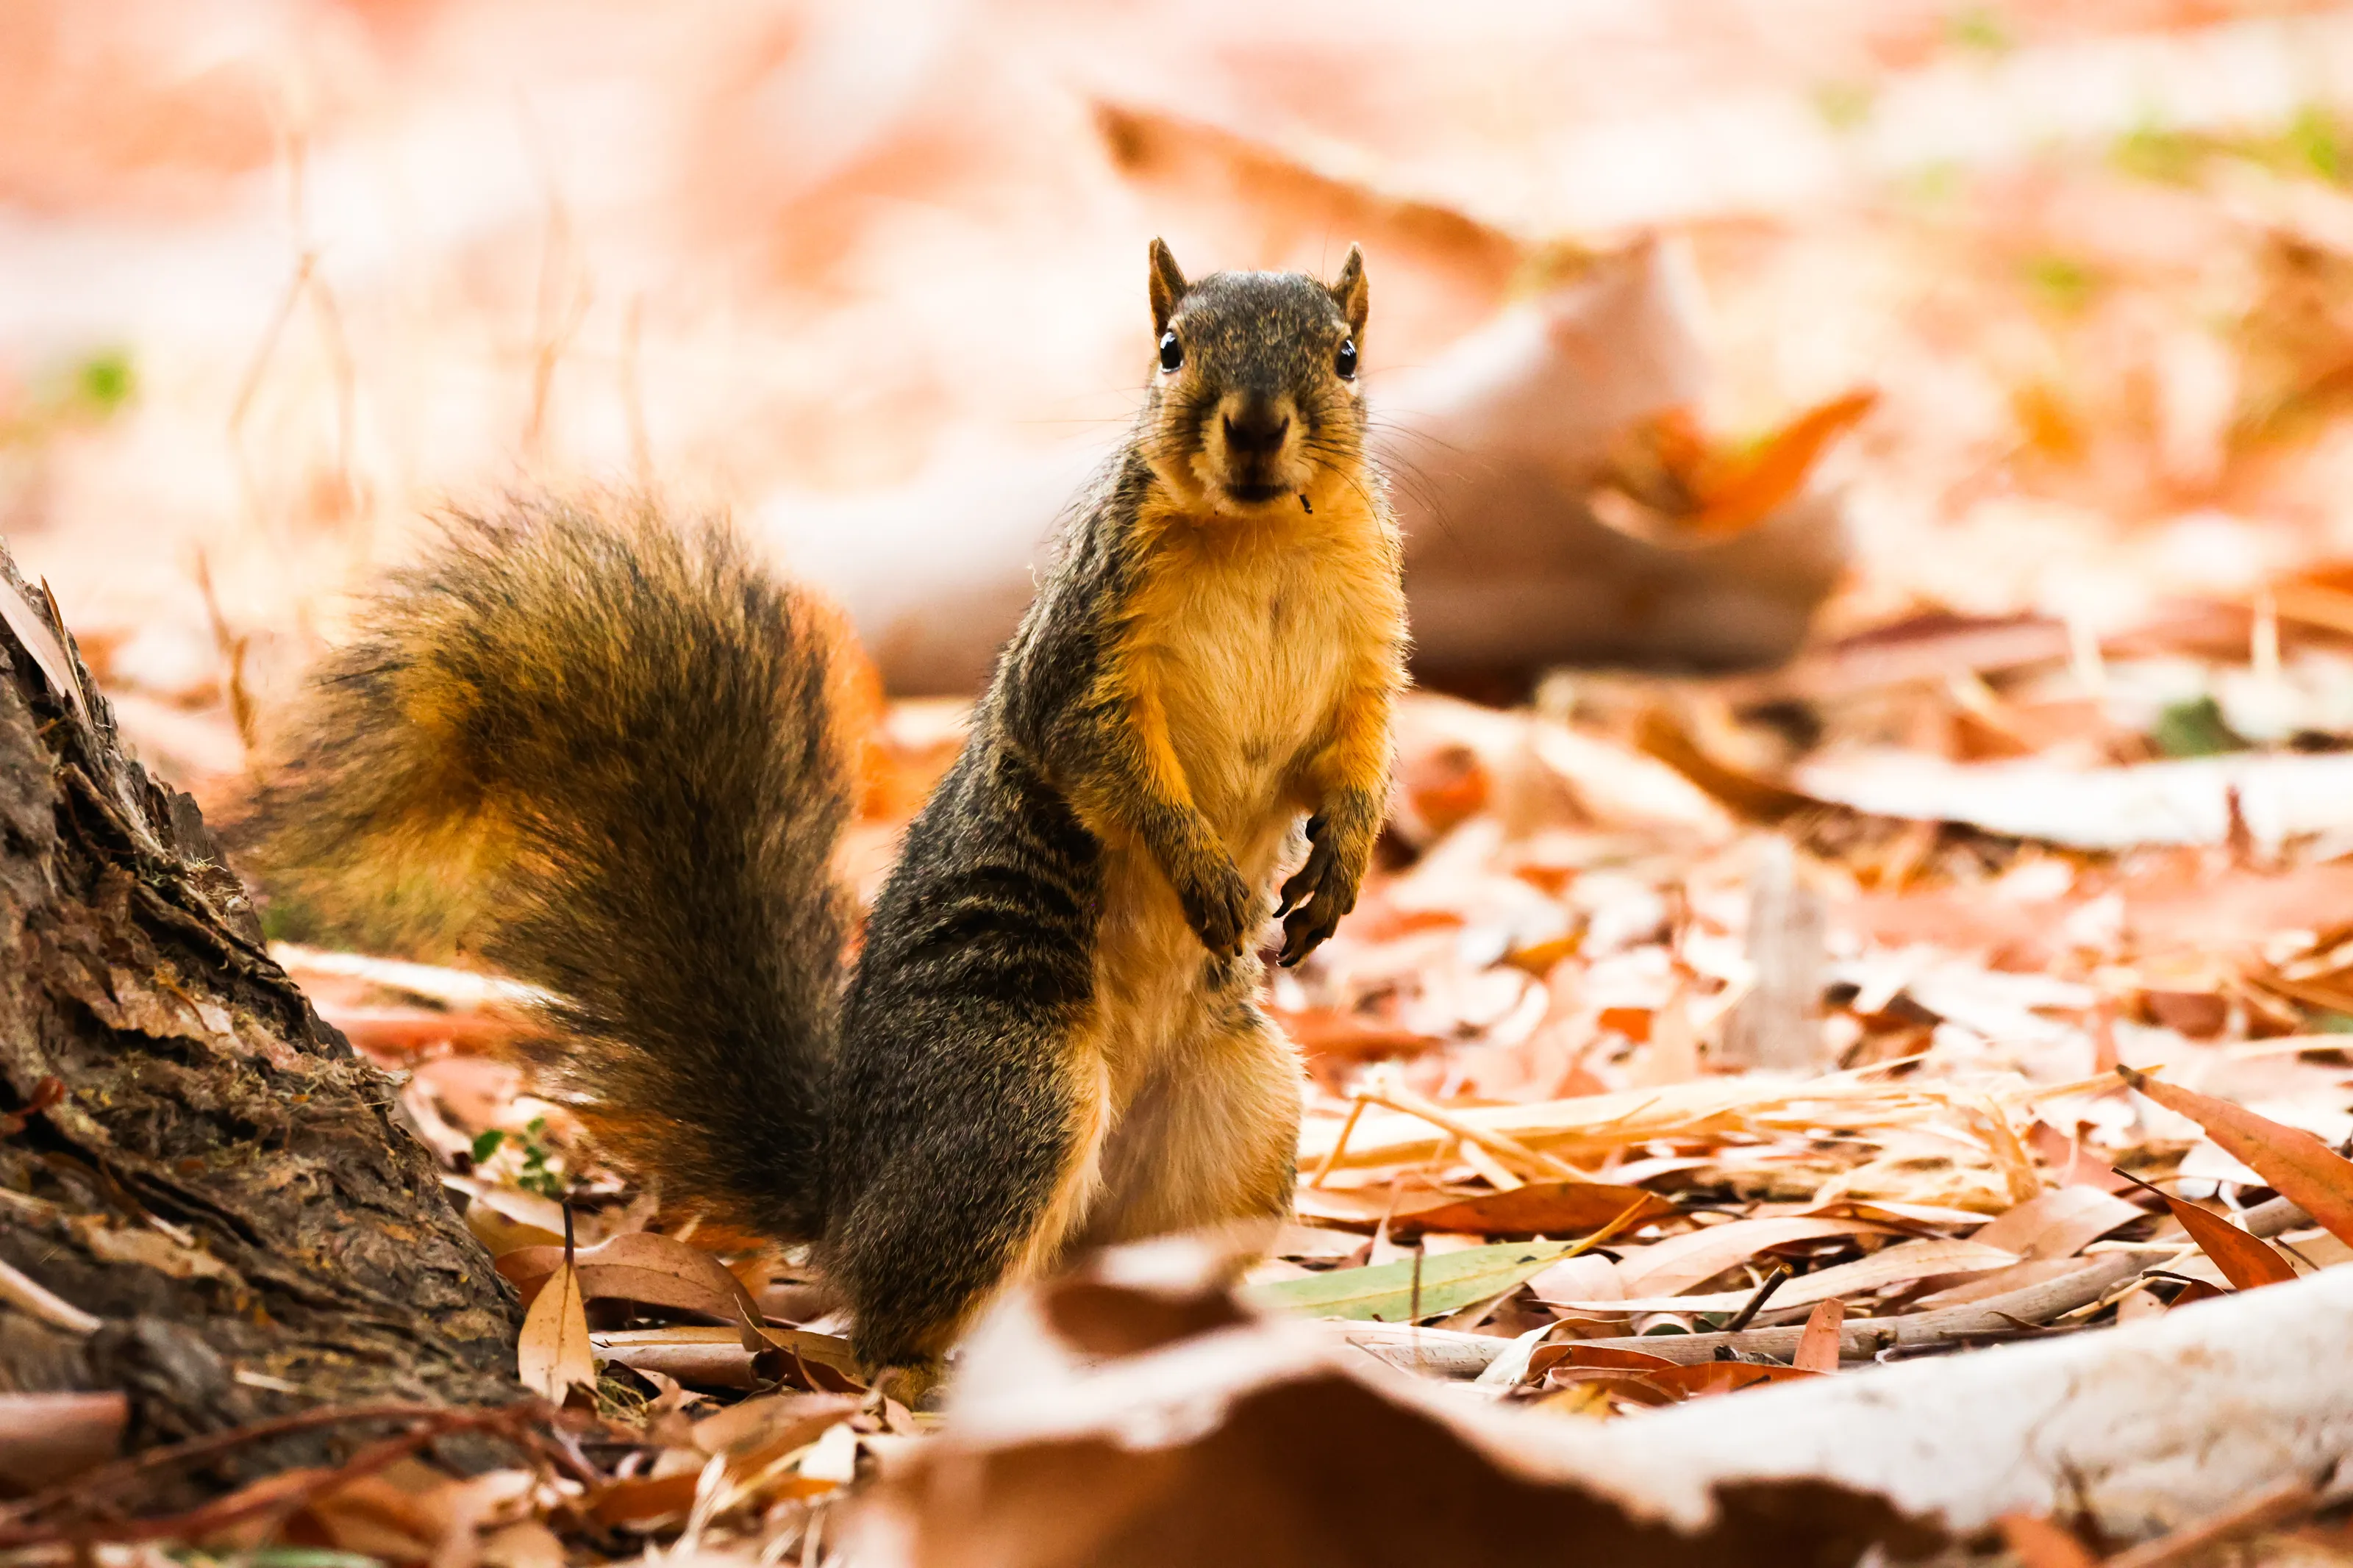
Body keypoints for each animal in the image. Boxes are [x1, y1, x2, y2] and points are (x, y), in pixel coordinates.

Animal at [253, 240, 1407, 1397]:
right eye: (1170, 350)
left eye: (1347, 357)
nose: (1254, 424)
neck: (1259, 540)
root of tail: (845, 1180)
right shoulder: (1082, 662)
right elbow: (1111, 766)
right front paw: (1202, 870)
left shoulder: (1365, 643)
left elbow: (1356, 758)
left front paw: (1342, 862)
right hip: (1013, 1096)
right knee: (894, 1313)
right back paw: (928, 1382)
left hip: (1244, 1115)